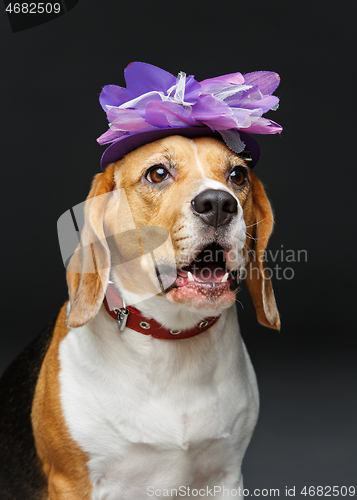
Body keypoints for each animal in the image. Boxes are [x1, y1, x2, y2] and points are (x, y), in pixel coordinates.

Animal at [0, 133, 278, 500]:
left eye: (238, 175)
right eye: (158, 173)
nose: (219, 203)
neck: (170, 338)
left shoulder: (226, 478)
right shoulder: (73, 483)